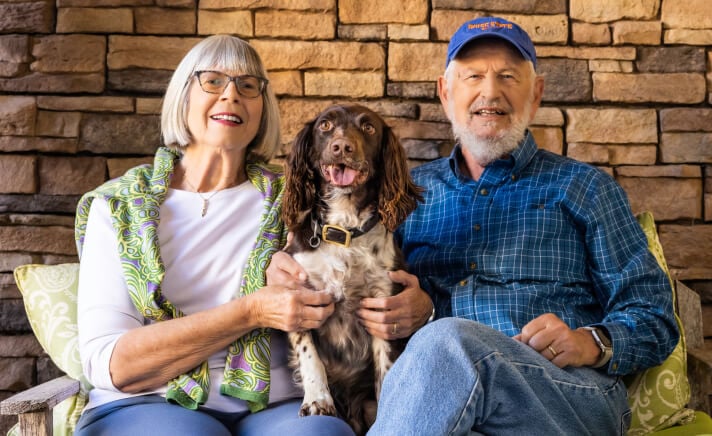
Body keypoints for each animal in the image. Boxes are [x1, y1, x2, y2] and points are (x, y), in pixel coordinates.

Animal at [280, 104, 422, 434]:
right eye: (325, 125)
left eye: (368, 127)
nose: (342, 147)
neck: (343, 229)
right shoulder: (298, 297)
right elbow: (310, 357)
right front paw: (318, 401)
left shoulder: (385, 307)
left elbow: (387, 371)